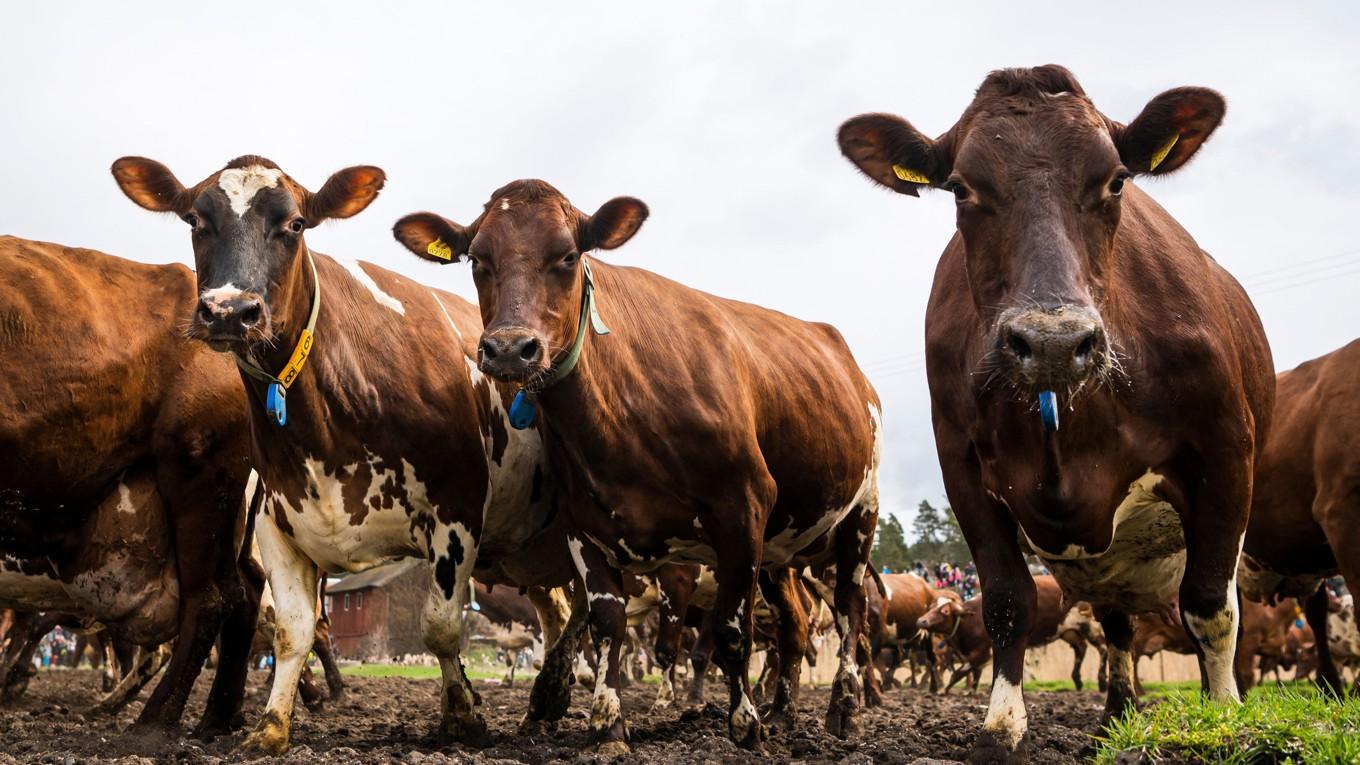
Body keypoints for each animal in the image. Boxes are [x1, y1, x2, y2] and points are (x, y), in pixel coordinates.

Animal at [112, 155, 584, 751]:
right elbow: (293, 631)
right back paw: (546, 699)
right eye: (196, 220)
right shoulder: (276, 522)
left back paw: (556, 690)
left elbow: (440, 625)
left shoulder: (456, 514)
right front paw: (270, 726)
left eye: (294, 225)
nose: (229, 311)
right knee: (558, 607)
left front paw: (462, 716)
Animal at [394, 178, 881, 751]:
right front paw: (607, 723)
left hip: (860, 515)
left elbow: (730, 632)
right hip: (780, 552)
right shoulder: (585, 522)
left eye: (568, 255)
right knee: (795, 624)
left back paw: (843, 708)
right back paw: (782, 713)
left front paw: (743, 725)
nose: (510, 349)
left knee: (849, 608)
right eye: (476, 258)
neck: (625, 411)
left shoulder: (742, 509)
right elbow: (608, 623)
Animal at [837, 65, 1272, 756]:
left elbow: (1209, 601)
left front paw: (1224, 721)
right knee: (1116, 625)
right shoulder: (961, 464)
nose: (1053, 342)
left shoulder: (1227, 449)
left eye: (1116, 178)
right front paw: (1002, 728)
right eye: (960, 188)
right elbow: (1005, 599)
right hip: (1106, 570)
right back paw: (1116, 710)